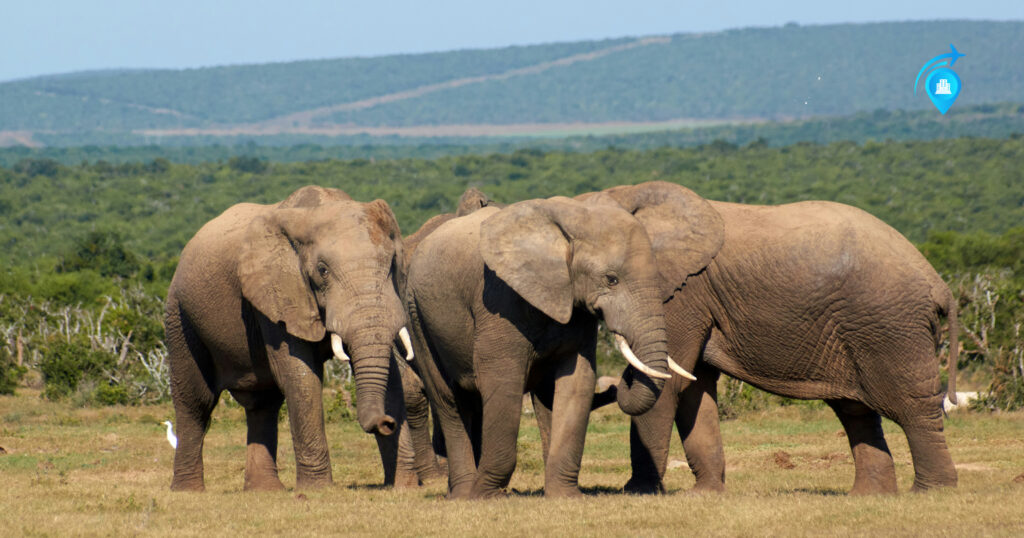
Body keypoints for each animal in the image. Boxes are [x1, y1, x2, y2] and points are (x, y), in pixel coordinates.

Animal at [163, 185, 417, 491]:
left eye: (392, 265)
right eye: (322, 270)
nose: (387, 422)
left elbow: (392, 376)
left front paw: (403, 487)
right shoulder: (276, 294)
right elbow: (300, 377)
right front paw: (318, 491)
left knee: (263, 404)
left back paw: (265, 491)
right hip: (180, 316)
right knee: (196, 401)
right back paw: (188, 491)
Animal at [404, 195, 709, 499]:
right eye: (611, 279)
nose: (618, 384)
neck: (570, 221)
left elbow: (578, 382)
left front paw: (565, 496)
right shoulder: (498, 300)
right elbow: (502, 381)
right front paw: (486, 497)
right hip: (417, 315)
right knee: (448, 400)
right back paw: (464, 493)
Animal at [580, 181, 958, 495]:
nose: (612, 385)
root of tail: (938, 283)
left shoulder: (681, 291)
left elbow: (670, 383)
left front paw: (637, 493)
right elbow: (694, 387)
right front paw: (704, 495)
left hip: (890, 326)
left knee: (911, 405)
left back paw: (930, 492)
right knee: (856, 410)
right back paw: (868, 496)